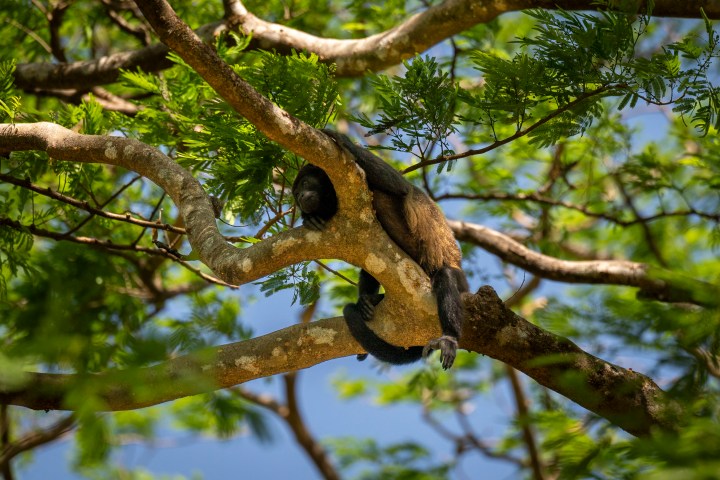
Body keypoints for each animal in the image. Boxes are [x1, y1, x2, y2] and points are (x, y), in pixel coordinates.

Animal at [292, 129, 468, 369]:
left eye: (305, 183)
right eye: (295, 193)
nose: (300, 197)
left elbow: (400, 187)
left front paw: (342, 139)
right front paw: (310, 218)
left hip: (459, 283)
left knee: (447, 275)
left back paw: (449, 338)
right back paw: (367, 302)